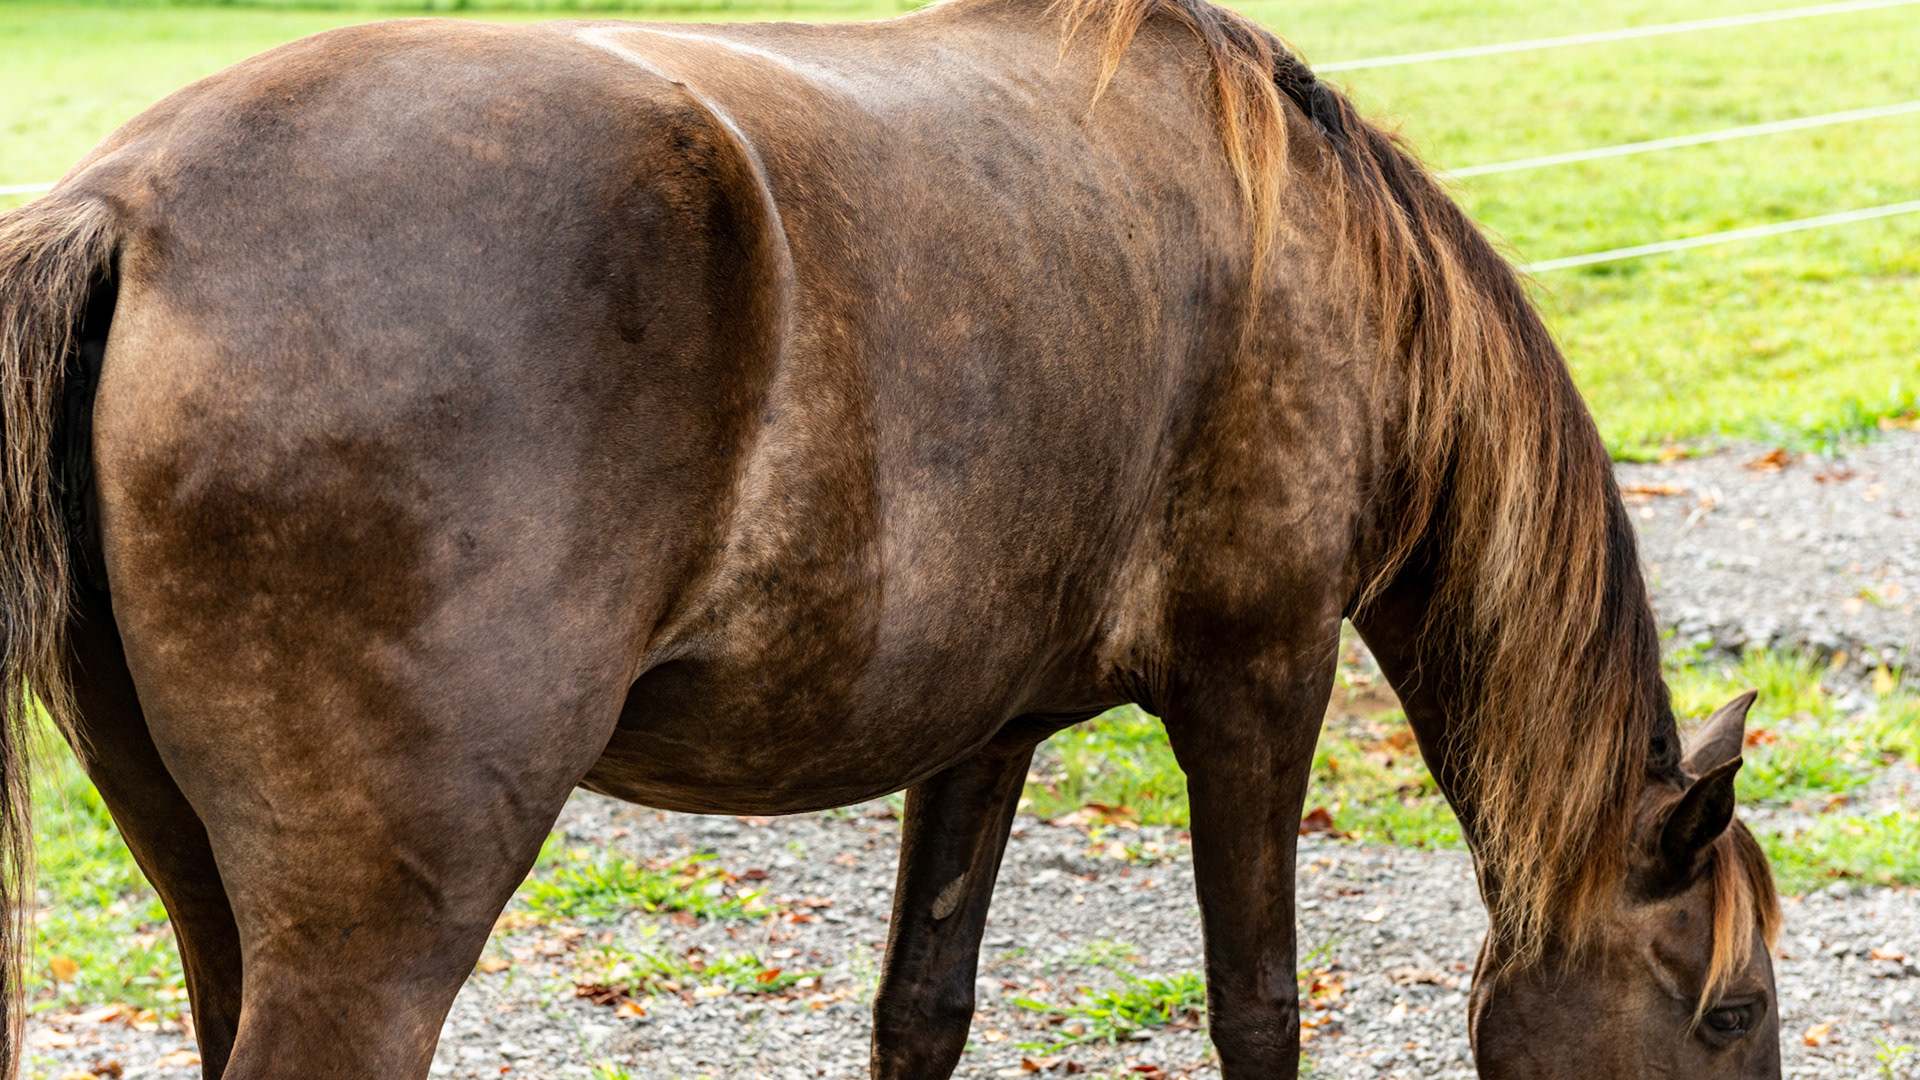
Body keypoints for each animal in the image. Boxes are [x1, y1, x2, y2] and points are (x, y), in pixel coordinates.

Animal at [0, 0, 1782, 1075]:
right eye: (1730, 1008)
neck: (1317, 258)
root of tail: (129, 204)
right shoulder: (1259, 684)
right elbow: (1258, 1011)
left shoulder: (986, 727)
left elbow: (922, 1008)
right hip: (377, 924)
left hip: (203, 880)